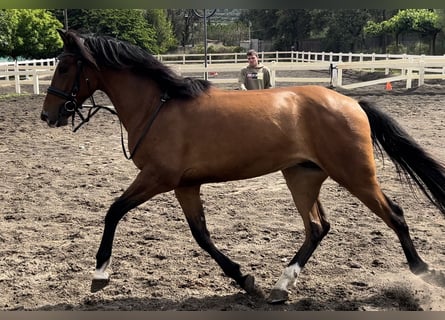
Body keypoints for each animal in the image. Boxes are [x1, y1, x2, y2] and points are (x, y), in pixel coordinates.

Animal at [40, 29, 444, 302]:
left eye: (65, 67)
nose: (48, 115)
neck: (159, 106)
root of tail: (351, 102)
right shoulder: (185, 185)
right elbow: (201, 235)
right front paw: (243, 279)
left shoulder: (157, 177)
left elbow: (114, 211)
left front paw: (100, 273)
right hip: (302, 176)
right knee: (317, 227)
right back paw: (281, 286)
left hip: (355, 175)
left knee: (394, 214)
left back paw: (423, 270)